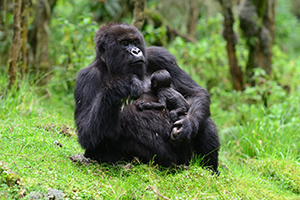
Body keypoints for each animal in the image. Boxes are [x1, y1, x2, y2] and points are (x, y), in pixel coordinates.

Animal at [74, 22, 219, 173]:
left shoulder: (160, 56)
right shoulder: (87, 77)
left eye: (135, 42)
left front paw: (187, 125)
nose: (136, 51)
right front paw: (123, 84)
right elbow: (86, 132)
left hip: (188, 160)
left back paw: (211, 169)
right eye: (125, 43)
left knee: (203, 118)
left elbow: (194, 92)